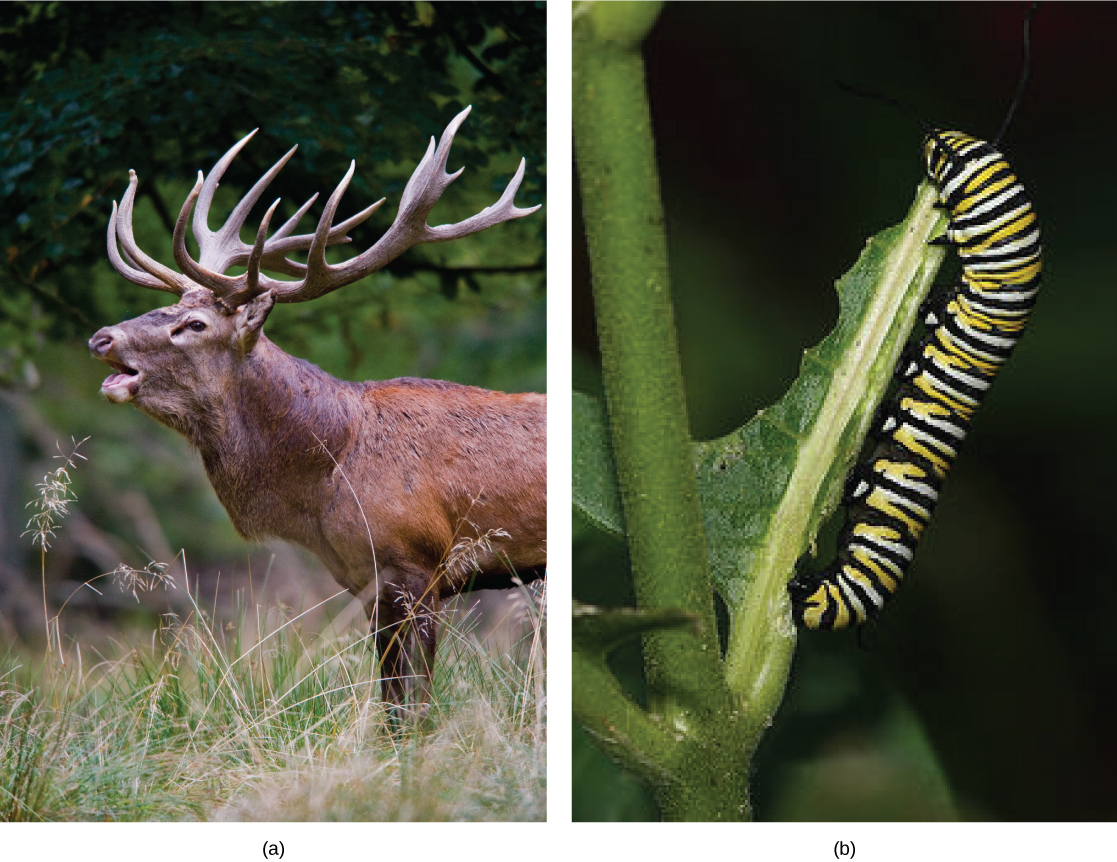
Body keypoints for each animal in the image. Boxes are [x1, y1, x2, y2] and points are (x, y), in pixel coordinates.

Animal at [93, 109, 547, 728]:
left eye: (194, 325)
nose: (101, 337)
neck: (327, 471)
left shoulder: (418, 564)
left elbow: (414, 704)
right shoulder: (366, 583)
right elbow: (390, 699)